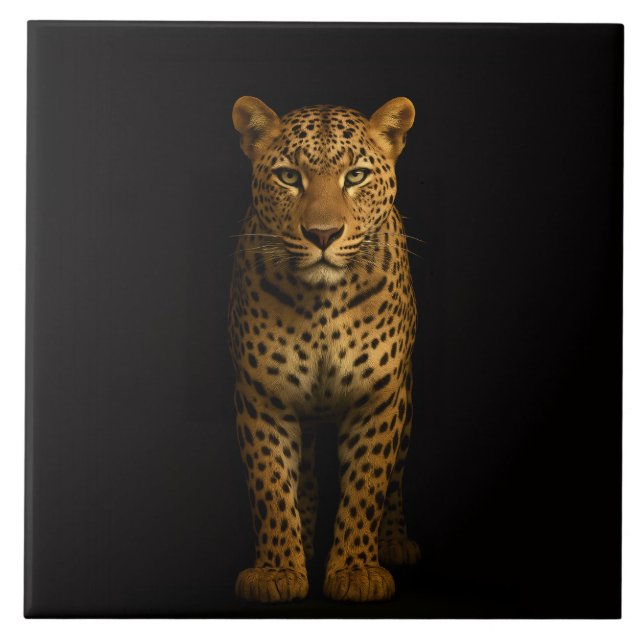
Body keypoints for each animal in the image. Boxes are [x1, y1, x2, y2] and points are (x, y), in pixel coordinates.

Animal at [228, 96, 419, 603]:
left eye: (356, 176)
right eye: (288, 176)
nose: (322, 234)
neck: (322, 306)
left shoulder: (379, 397)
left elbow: (368, 485)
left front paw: (356, 571)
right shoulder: (262, 396)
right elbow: (271, 485)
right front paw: (277, 571)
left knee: (396, 476)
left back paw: (394, 542)